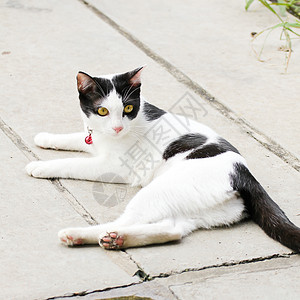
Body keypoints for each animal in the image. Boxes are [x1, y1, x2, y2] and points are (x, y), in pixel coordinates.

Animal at [25, 67, 300, 251]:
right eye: (102, 110)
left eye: (127, 109)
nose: (117, 128)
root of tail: (245, 174)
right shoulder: (95, 139)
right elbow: (78, 138)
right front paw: (45, 138)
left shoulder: (113, 166)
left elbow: (73, 163)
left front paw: (40, 166)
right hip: (193, 206)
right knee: (173, 229)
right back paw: (118, 239)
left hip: (160, 189)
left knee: (128, 220)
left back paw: (78, 234)